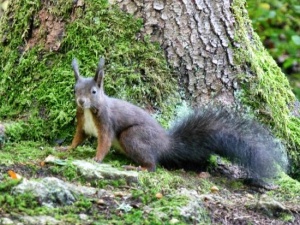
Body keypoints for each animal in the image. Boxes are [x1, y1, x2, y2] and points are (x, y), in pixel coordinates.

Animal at [68, 57, 288, 187]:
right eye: (75, 89)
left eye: (93, 92)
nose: (81, 101)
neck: (89, 110)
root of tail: (166, 144)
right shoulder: (82, 123)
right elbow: (78, 137)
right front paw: (67, 149)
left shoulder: (106, 121)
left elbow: (104, 141)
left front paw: (96, 159)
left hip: (133, 137)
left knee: (152, 164)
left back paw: (138, 168)